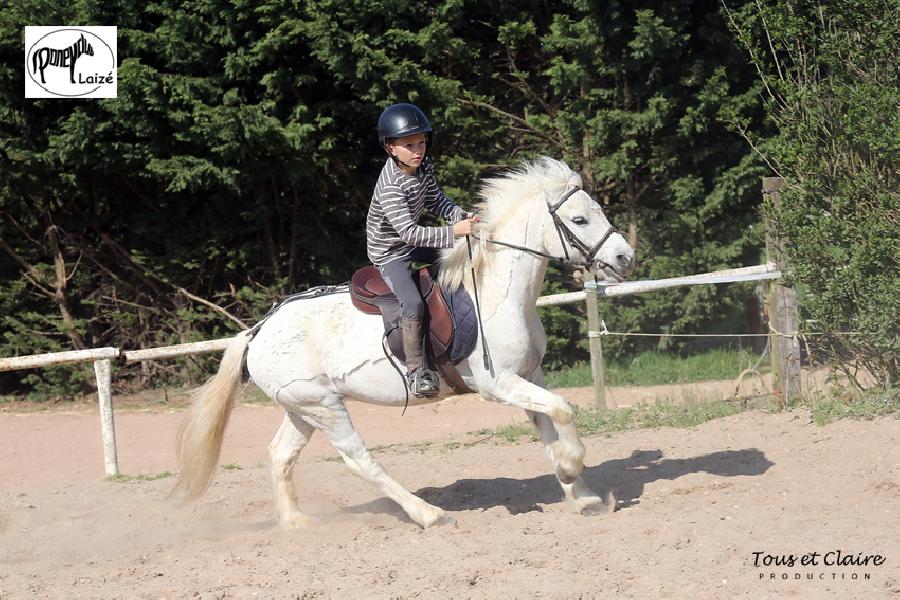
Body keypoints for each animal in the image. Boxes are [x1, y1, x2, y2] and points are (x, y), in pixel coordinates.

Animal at [176, 157, 636, 528]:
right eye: (579, 220)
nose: (625, 258)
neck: (496, 294)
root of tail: (259, 331)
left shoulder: (529, 375)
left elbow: (550, 425)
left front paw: (583, 496)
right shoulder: (498, 384)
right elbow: (563, 410)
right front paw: (571, 469)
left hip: (302, 407)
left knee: (280, 454)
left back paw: (297, 523)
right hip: (324, 407)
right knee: (360, 461)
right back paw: (429, 515)